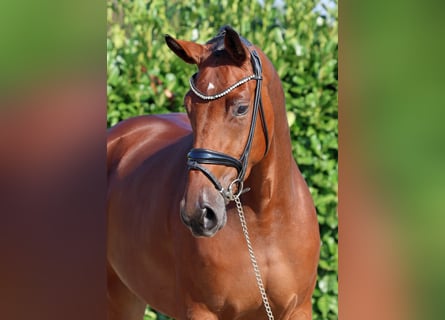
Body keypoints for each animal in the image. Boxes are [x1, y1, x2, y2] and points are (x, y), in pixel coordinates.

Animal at [106, 26, 318, 318]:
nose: (198, 212)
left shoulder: (298, 309)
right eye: (188, 106)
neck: (265, 221)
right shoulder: (202, 310)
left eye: (241, 107)